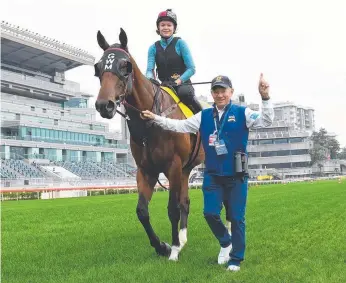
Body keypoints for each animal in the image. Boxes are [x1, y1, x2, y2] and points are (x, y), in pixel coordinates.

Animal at [93, 28, 204, 262]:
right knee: (185, 202)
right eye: (98, 68)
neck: (150, 124)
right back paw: (183, 238)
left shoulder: (173, 166)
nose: (104, 105)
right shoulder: (146, 170)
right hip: (185, 169)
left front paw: (173, 248)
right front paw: (161, 246)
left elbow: (172, 209)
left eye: (125, 66)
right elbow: (142, 211)